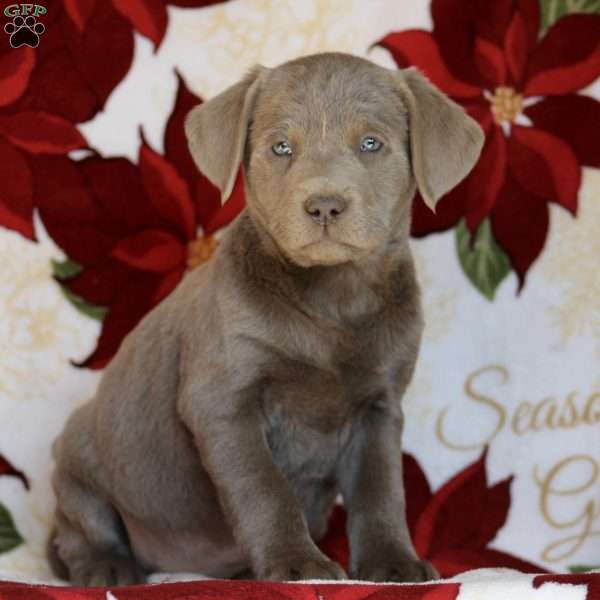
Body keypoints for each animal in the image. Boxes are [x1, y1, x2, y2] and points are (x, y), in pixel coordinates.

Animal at [49, 51, 486, 584]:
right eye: (281, 147)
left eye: (371, 144)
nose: (324, 205)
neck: (332, 298)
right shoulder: (223, 400)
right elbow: (264, 487)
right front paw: (299, 565)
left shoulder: (379, 407)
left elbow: (381, 491)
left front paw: (392, 563)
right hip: (76, 458)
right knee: (79, 530)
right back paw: (108, 567)